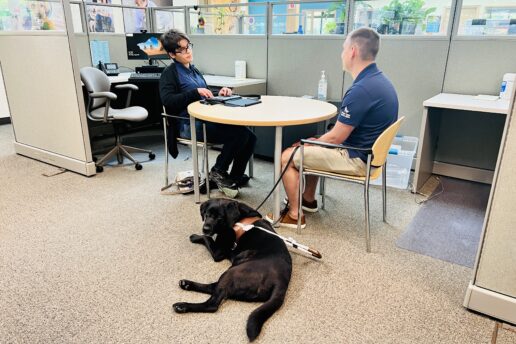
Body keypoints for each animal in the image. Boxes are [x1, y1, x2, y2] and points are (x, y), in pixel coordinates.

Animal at [173, 199, 292, 342]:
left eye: (219, 218)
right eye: (206, 214)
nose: (205, 228)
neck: (239, 218)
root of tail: (281, 282)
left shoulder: (218, 252)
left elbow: (207, 238)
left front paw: (196, 236)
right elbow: (208, 237)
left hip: (233, 272)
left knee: (212, 304)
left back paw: (182, 306)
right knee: (213, 287)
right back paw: (187, 284)